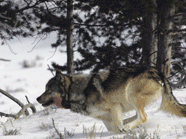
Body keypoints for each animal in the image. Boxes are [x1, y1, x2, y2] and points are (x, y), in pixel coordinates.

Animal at [36, 68, 186, 133]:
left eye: (48, 90)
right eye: (44, 89)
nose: (37, 98)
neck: (79, 91)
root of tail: (159, 73)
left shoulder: (115, 107)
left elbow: (118, 124)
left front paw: (123, 130)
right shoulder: (105, 117)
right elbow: (112, 128)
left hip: (131, 94)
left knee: (143, 117)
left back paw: (127, 127)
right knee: (139, 116)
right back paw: (128, 125)